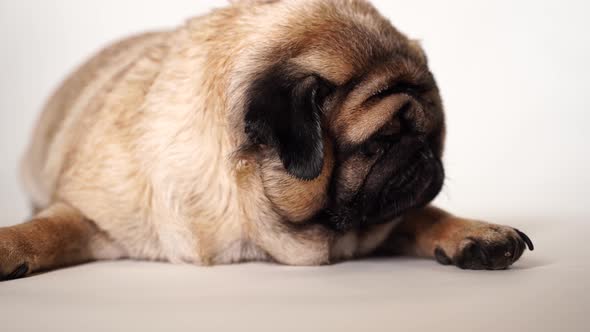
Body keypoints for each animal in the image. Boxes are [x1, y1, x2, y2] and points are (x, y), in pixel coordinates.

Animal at [1, 0, 536, 280]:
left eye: (432, 132)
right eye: (380, 142)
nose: (423, 155)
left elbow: (425, 215)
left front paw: (474, 232)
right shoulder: (89, 215)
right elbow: (45, 229)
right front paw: (11, 246)